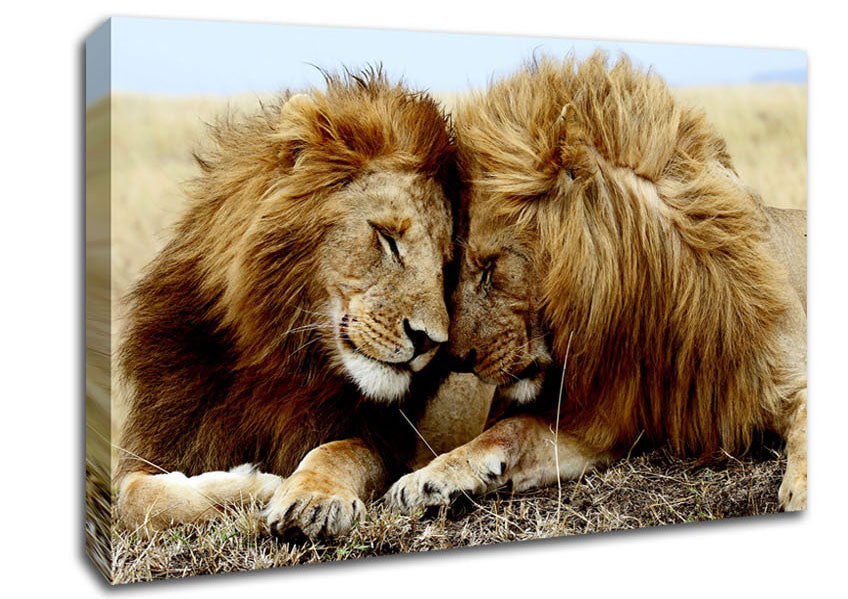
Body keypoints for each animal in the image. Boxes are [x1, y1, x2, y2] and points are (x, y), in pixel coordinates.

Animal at [115, 68, 493, 539]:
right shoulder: (163, 439)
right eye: (387, 238)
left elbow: (337, 451)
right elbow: (136, 499)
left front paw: (312, 497)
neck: (278, 358)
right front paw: (253, 485)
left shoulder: (386, 441)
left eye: (446, 267)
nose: (429, 341)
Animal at [387, 53, 807, 515]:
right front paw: (426, 479)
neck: (651, 309)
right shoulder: (600, 421)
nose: (456, 359)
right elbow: (509, 430)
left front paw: (803, 490)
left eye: (491, 267)